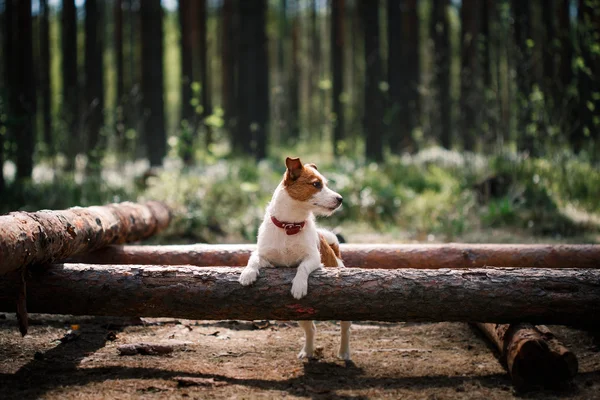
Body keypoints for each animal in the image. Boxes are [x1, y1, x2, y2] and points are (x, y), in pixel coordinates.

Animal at [238, 156, 352, 360]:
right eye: (316, 184)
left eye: (325, 184)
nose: (340, 199)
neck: (289, 226)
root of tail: (336, 253)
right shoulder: (266, 257)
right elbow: (254, 259)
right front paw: (247, 274)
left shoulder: (314, 259)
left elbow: (302, 267)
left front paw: (299, 286)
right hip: (300, 314)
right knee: (311, 329)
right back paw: (307, 351)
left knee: (345, 328)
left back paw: (344, 352)